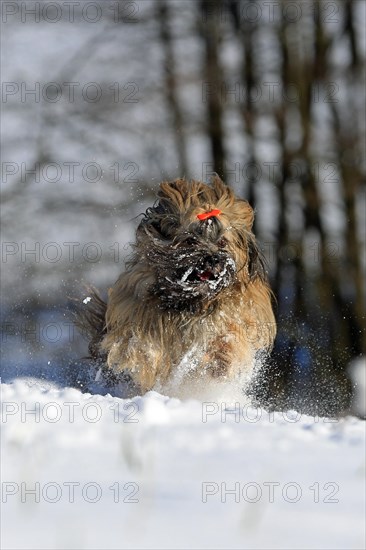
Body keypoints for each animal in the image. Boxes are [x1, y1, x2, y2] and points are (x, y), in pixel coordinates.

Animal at [78, 177, 276, 396]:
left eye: (223, 242)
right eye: (190, 240)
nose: (213, 259)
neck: (190, 303)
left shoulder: (236, 315)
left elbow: (228, 338)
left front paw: (220, 360)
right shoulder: (135, 311)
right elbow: (139, 344)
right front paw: (147, 358)